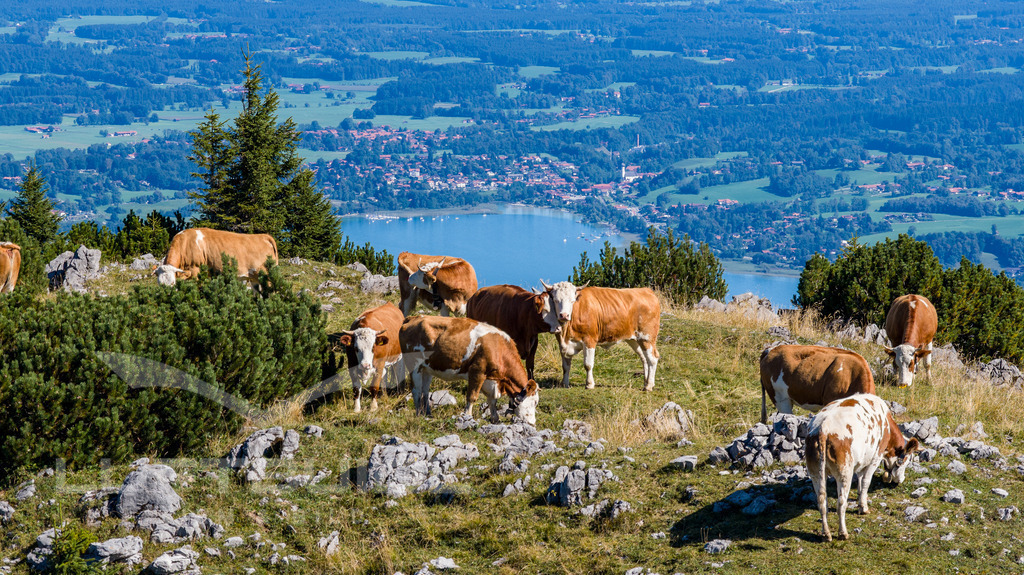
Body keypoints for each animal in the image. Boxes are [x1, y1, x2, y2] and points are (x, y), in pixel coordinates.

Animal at [399, 316, 539, 425]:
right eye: (534, 402)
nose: (532, 423)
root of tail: (413, 318)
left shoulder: (491, 380)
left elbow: (492, 400)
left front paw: (495, 419)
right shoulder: (477, 372)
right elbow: (472, 397)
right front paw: (467, 416)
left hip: (427, 368)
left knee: (425, 391)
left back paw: (428, 414)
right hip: (414, 365)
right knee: (416, 391)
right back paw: (419, 414)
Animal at [805, 393, 920, 541]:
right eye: (907, 460)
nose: (901, 480)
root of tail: (823, 427)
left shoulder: (862, 461)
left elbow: (859, 481)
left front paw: (860, 503)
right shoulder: (875, 457)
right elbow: (865, 482)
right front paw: (864, 508)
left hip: (815, 472)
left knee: (821, 501)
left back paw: (826, 534)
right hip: (844, 472)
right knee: (841, 503)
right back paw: (843, 533)